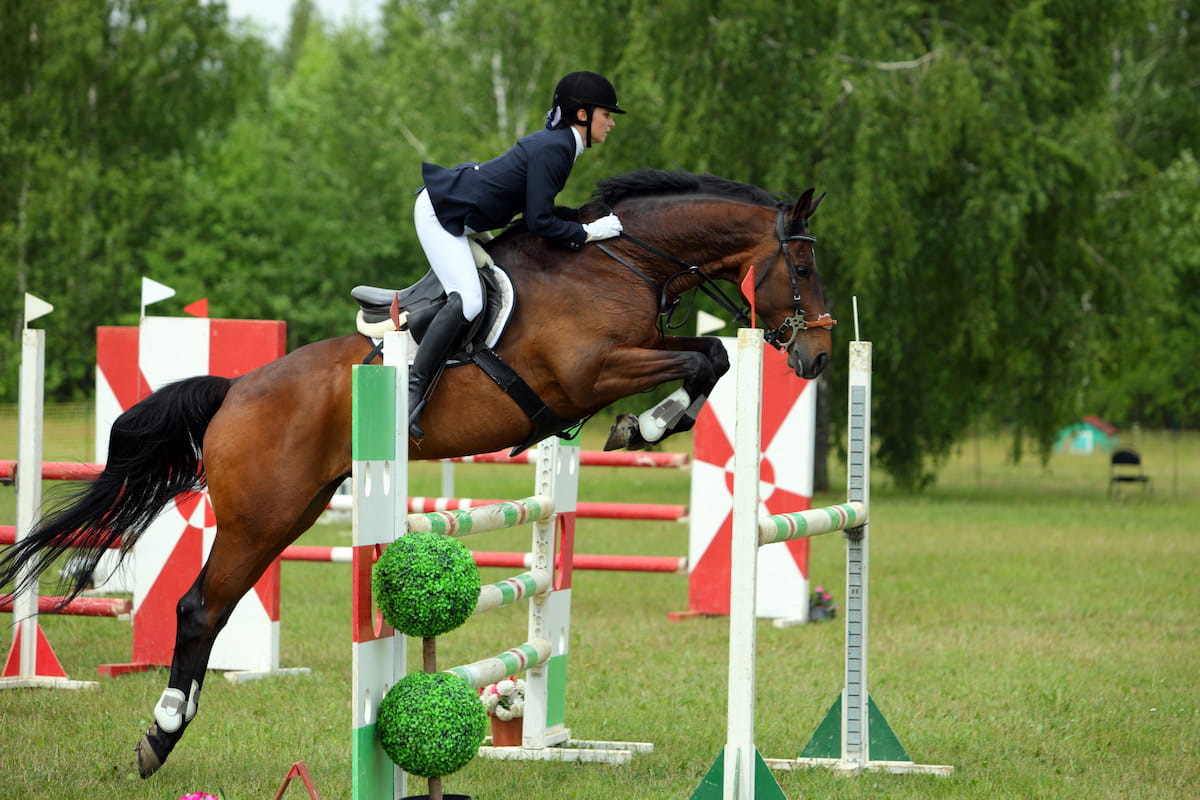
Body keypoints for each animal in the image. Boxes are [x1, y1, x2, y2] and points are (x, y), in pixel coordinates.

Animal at [0, 168, 833, 778]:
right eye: (802, 263)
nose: (819, 356)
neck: (613, 261)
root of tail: (235, 389)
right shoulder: (589, 372)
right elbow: (709, 356)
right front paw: (646, 425)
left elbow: (710, 356)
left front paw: (647, 424)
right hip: (262, 514)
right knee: (199, 607)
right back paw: (162, 733)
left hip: (292, 512)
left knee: (216, 606)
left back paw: (164, 733)